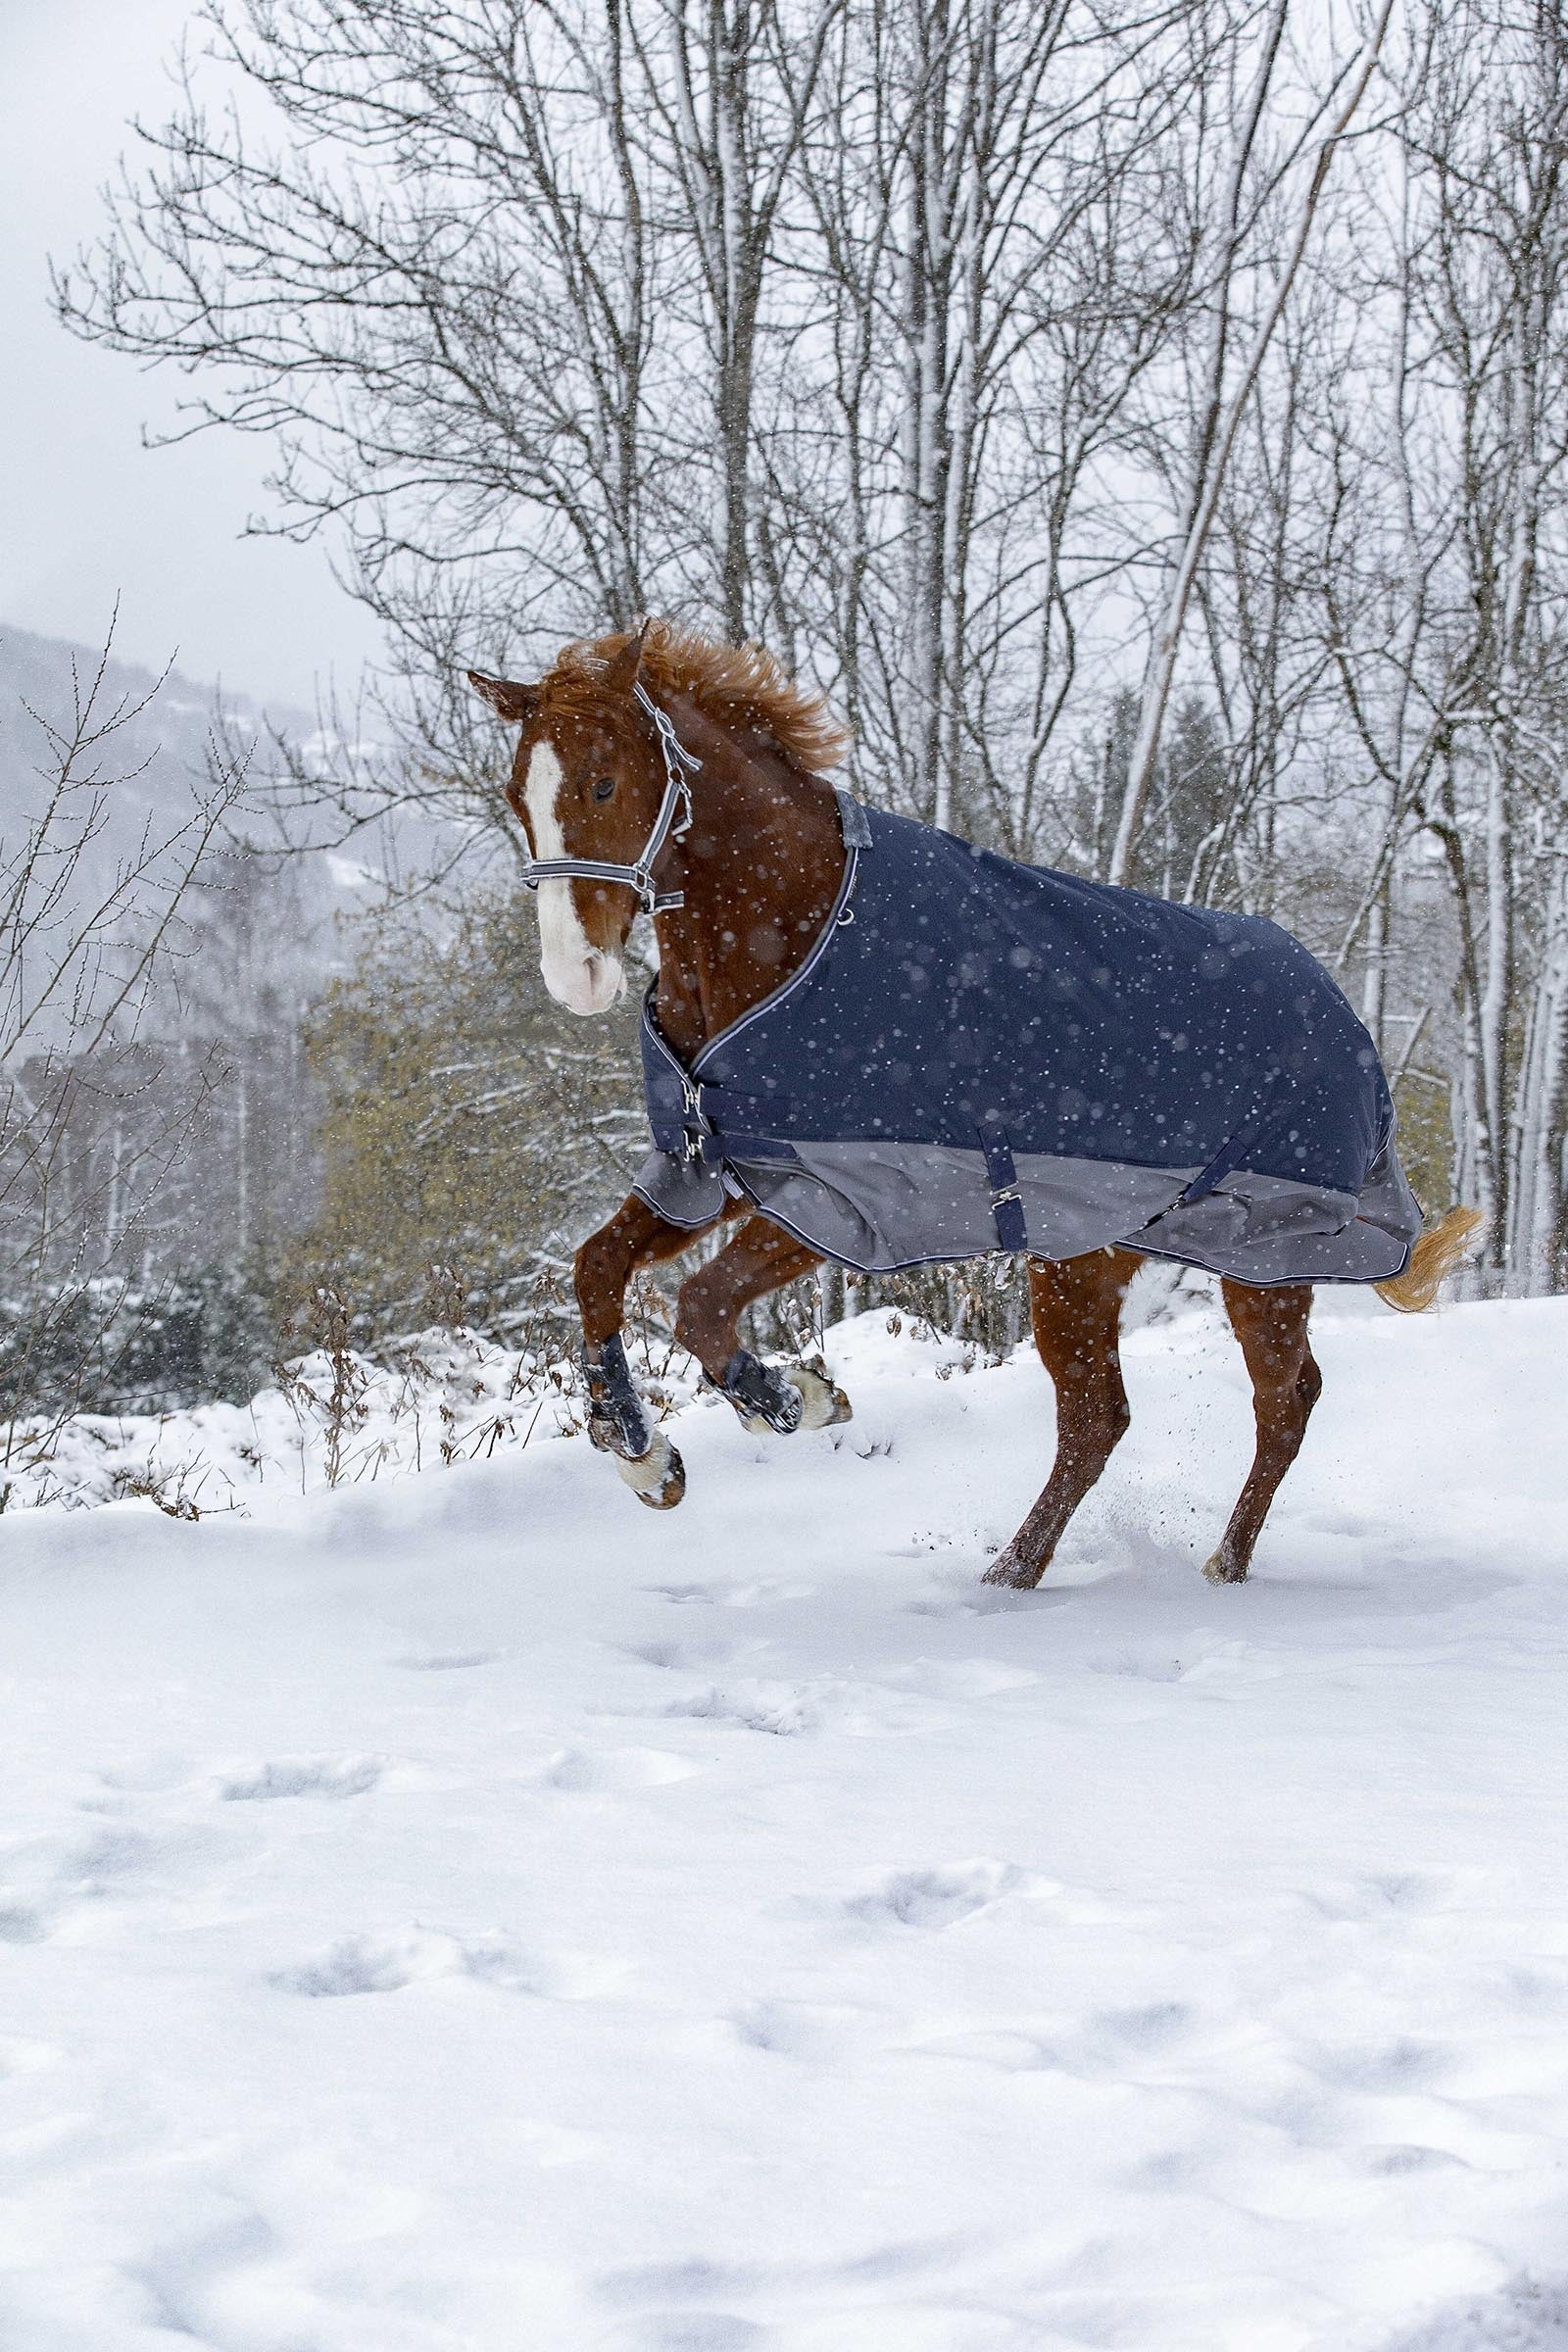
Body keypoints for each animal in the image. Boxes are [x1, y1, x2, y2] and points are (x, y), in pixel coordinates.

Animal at [468, 622, 1479, 1590]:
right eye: (519, 794)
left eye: (603, 782)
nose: (576, 977)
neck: (795, 932)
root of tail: (1344, 1013)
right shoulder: (710, 1165)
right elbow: (597, 1267)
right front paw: (643, 1452)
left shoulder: (847, 1193)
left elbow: (702, 1307)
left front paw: (796, 1400)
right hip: (1084, 1259)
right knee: (1099, 1420)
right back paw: (1015, 1571)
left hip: (1265, 1257)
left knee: (1282, 1402)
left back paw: (1218, 1565)